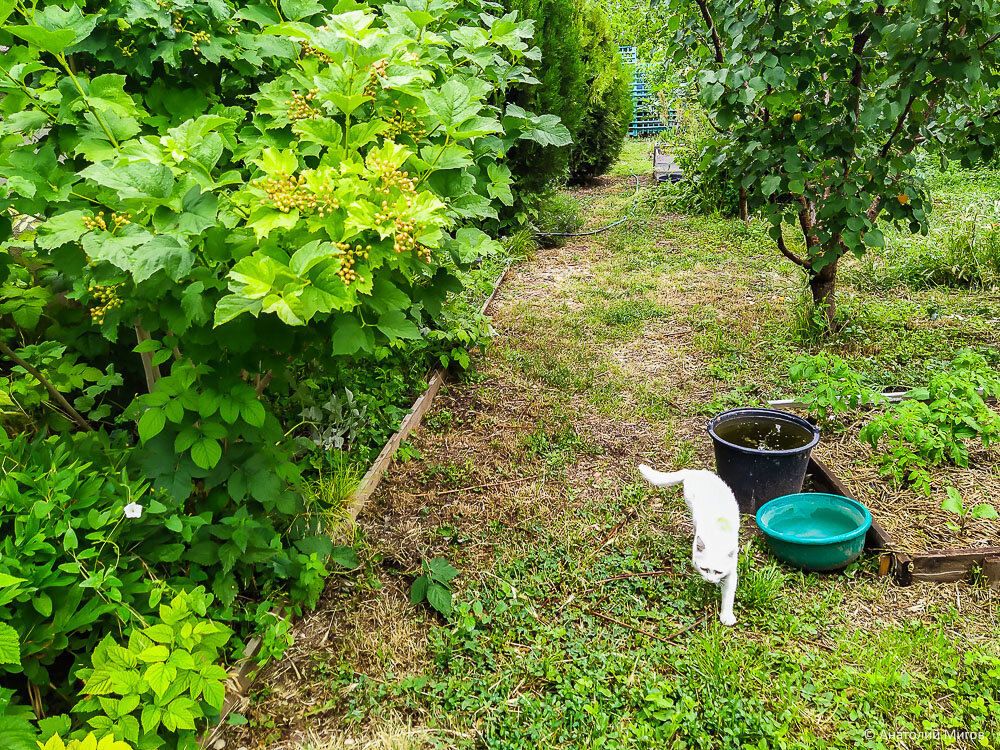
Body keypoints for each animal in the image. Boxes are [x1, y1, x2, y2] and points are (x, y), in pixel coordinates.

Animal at [636, 468, 740, 624]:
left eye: (718, 571)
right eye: (704, 569)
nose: (710, 580)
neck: (718, 535)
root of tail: (695, 471)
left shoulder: (732, 570)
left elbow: (728, 594)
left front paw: (727, 615)